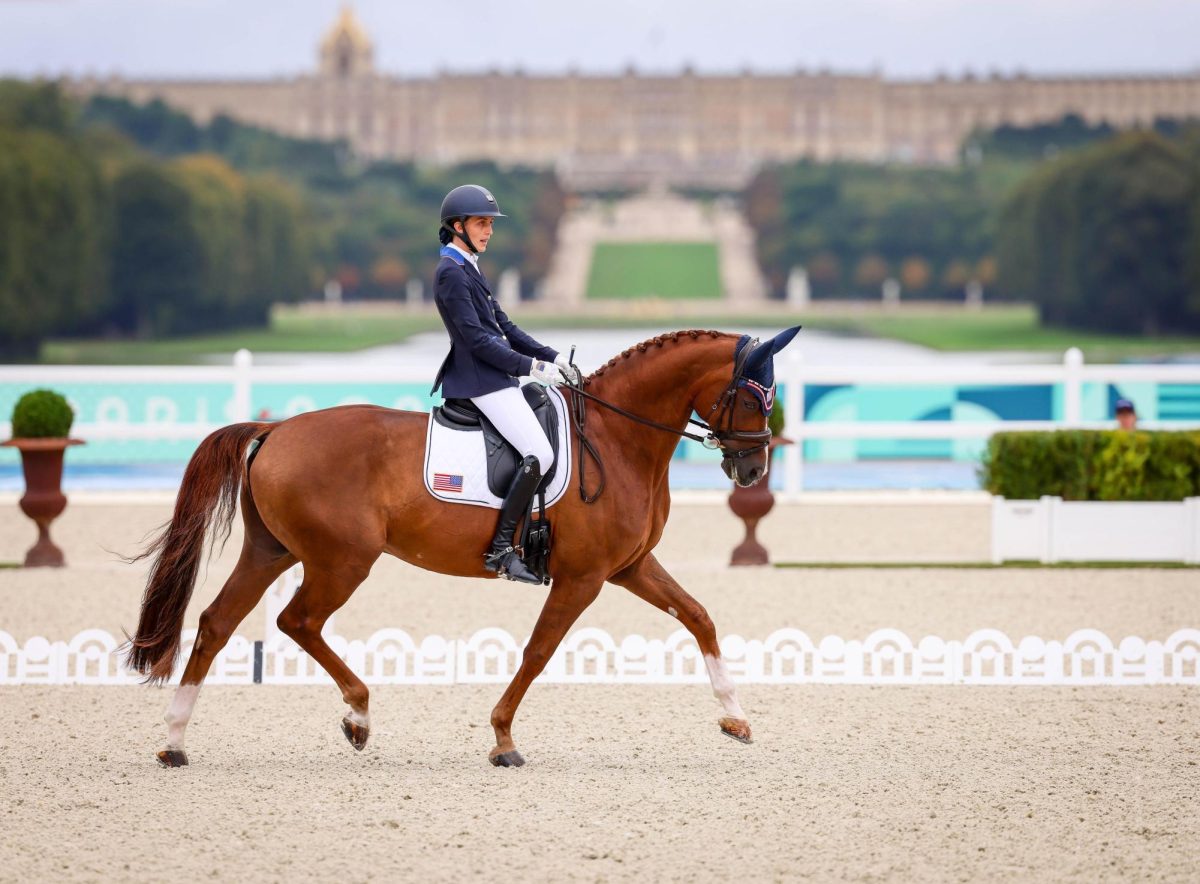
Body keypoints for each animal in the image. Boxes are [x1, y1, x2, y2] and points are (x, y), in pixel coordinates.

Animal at [126, 328, 796, 767]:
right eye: (752, 396)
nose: (753, 468)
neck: (617, 436)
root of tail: (276, 428)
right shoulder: (583, 577)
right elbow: (538, 652)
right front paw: (503, 740)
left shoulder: (629, 567)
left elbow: (699, 617)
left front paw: (736, 718)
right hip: (342, 560)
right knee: (299, 621)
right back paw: (358, 716)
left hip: (272, 552)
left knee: (216, 623)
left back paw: (175, 741)